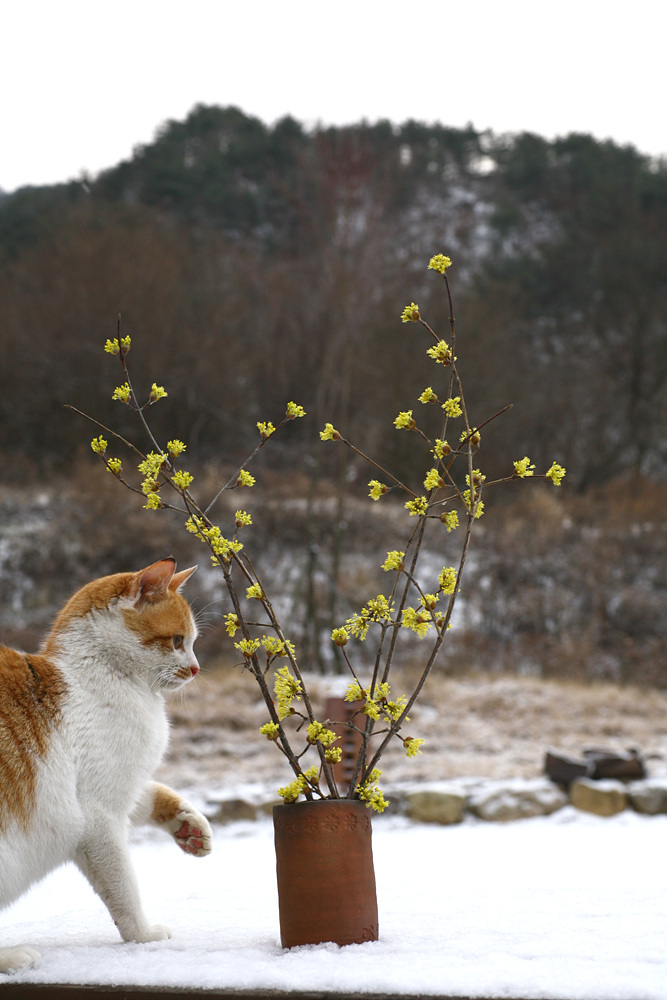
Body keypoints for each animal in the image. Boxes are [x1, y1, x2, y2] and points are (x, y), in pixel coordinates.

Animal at [0, 560, 211, 972]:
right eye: (178, 641)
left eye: (193, 642)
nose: (196, 668)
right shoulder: (97, 817)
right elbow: (123, 887)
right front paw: (142, 934)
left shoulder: (120, 788)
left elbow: (149, 795)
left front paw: (188, 824)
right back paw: (11, 956)